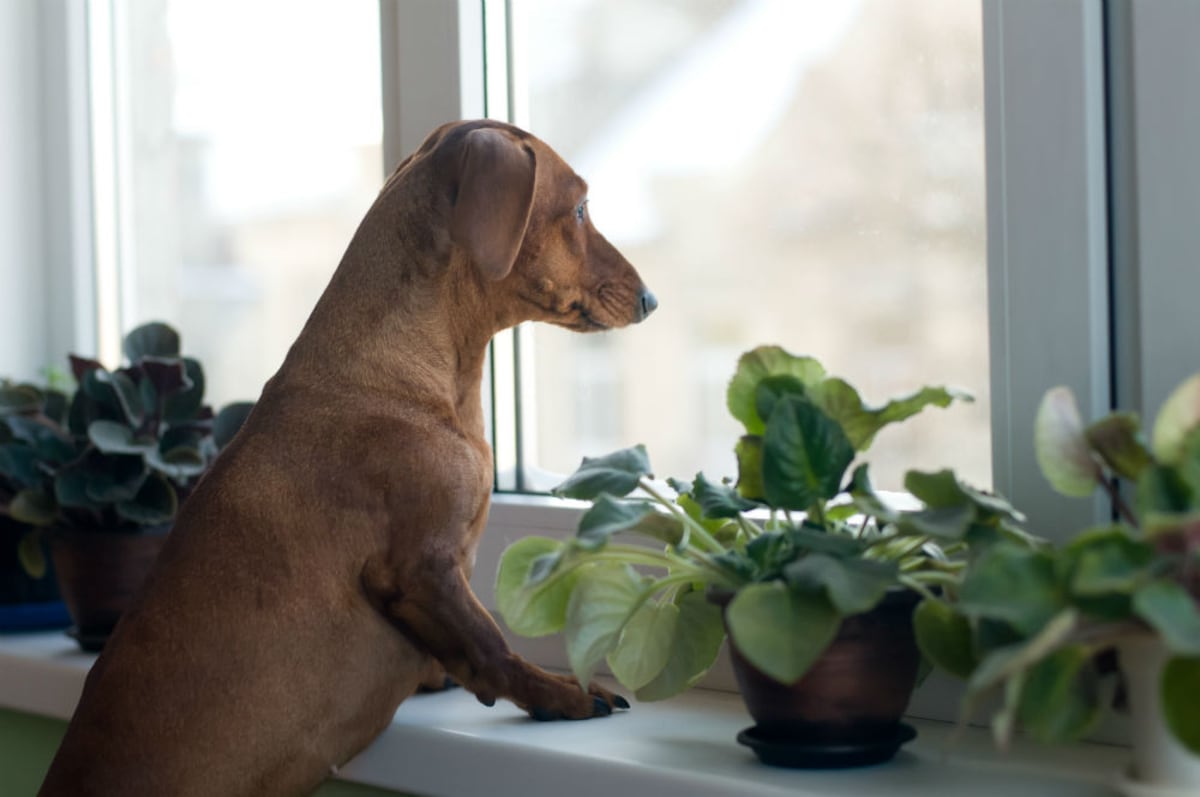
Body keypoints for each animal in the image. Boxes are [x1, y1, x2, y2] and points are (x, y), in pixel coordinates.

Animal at [39, 120, 657, 797]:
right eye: (580, 209)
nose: (650, 299)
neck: (400, 374)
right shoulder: (422, 566)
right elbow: (489, 644)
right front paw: (556, 692)